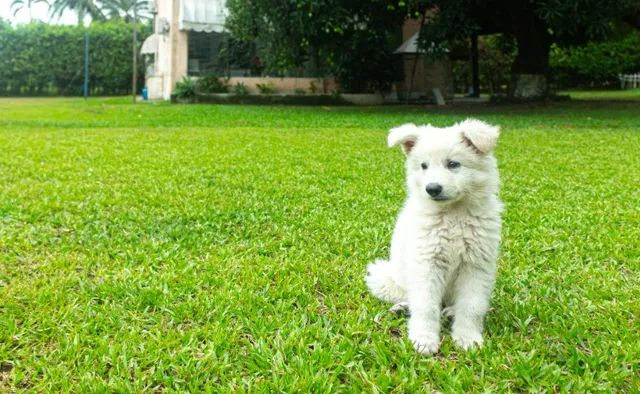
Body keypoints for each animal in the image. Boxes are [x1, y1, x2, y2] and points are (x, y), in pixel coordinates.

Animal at [368, 119, 502, 354]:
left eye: (453, 164)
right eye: (423, 166)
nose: (432, 188)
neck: (453, 214)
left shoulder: (475, 265)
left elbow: (472, 305)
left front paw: (467, 338)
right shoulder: (427, 263)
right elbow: (426, 305)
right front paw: (424, 339)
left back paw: (450, 311)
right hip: (389, 278)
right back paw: (404, 307)